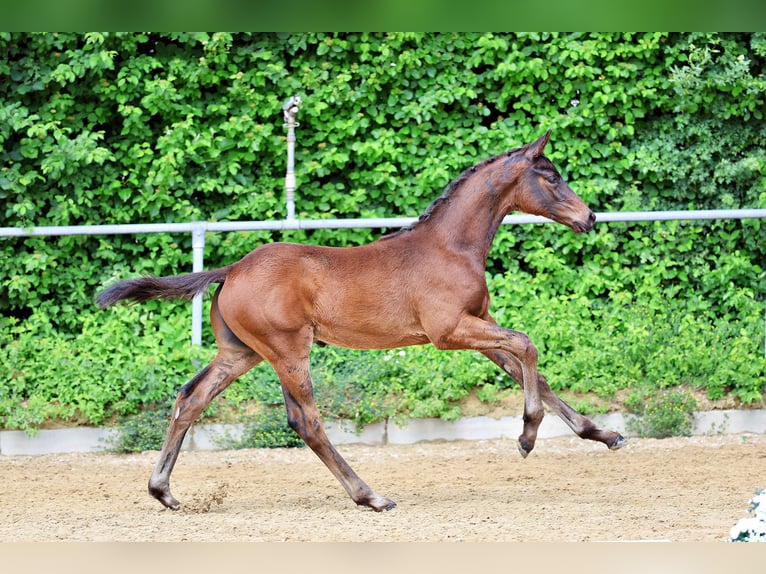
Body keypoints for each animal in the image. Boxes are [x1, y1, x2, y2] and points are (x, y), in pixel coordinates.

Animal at [96, 130, 627, 513]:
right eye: (551, 177)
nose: (590, 217)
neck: (450, 247)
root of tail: (232, 269)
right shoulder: (448, 332)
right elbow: (528, 345)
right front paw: (527, 436)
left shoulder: (477, 323)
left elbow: (527, 367)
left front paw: (604, 435)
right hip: (288, 349)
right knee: (305, 420)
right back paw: (371, 496)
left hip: (241, 353)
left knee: (190, 399)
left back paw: (164, 492)